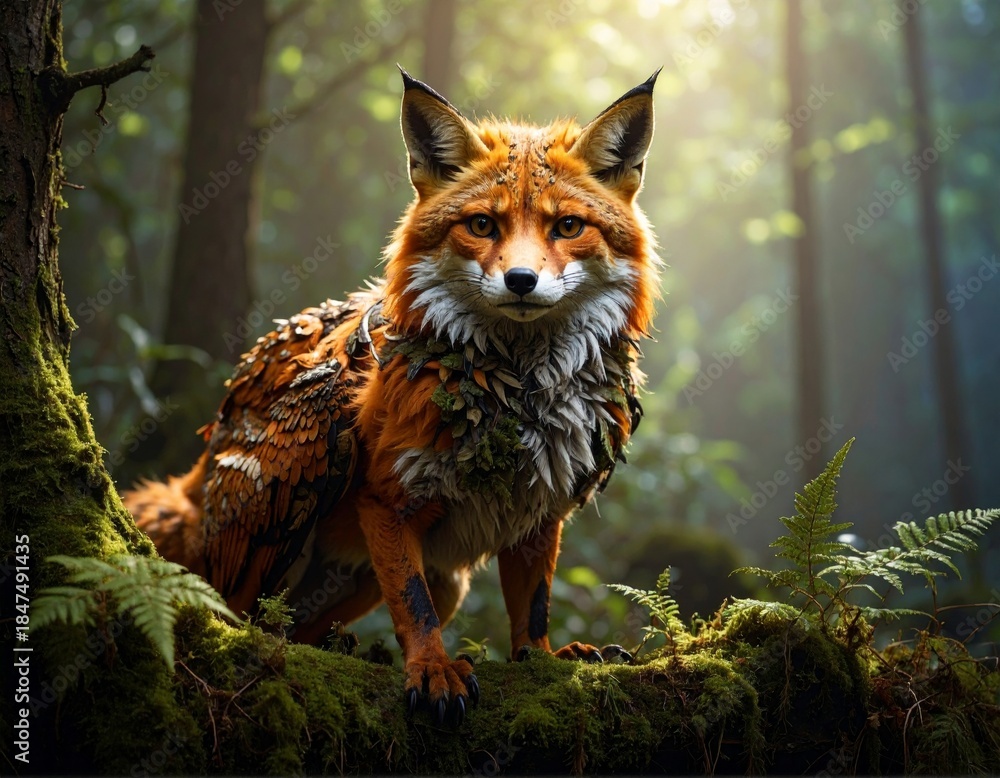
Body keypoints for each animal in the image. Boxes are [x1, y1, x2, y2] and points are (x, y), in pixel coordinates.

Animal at [125, 67, 661, 724]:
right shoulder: (388, 500)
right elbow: (412, 605)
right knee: (250, 621)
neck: (515, 396)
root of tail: (206, 457)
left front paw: (541, 658)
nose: (521, 280)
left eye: (567, 227)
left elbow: (532, 604)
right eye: (482, 224)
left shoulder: (541, 510)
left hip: (413, 579)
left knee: (299, 627)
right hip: (295, 502)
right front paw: (432, 670)